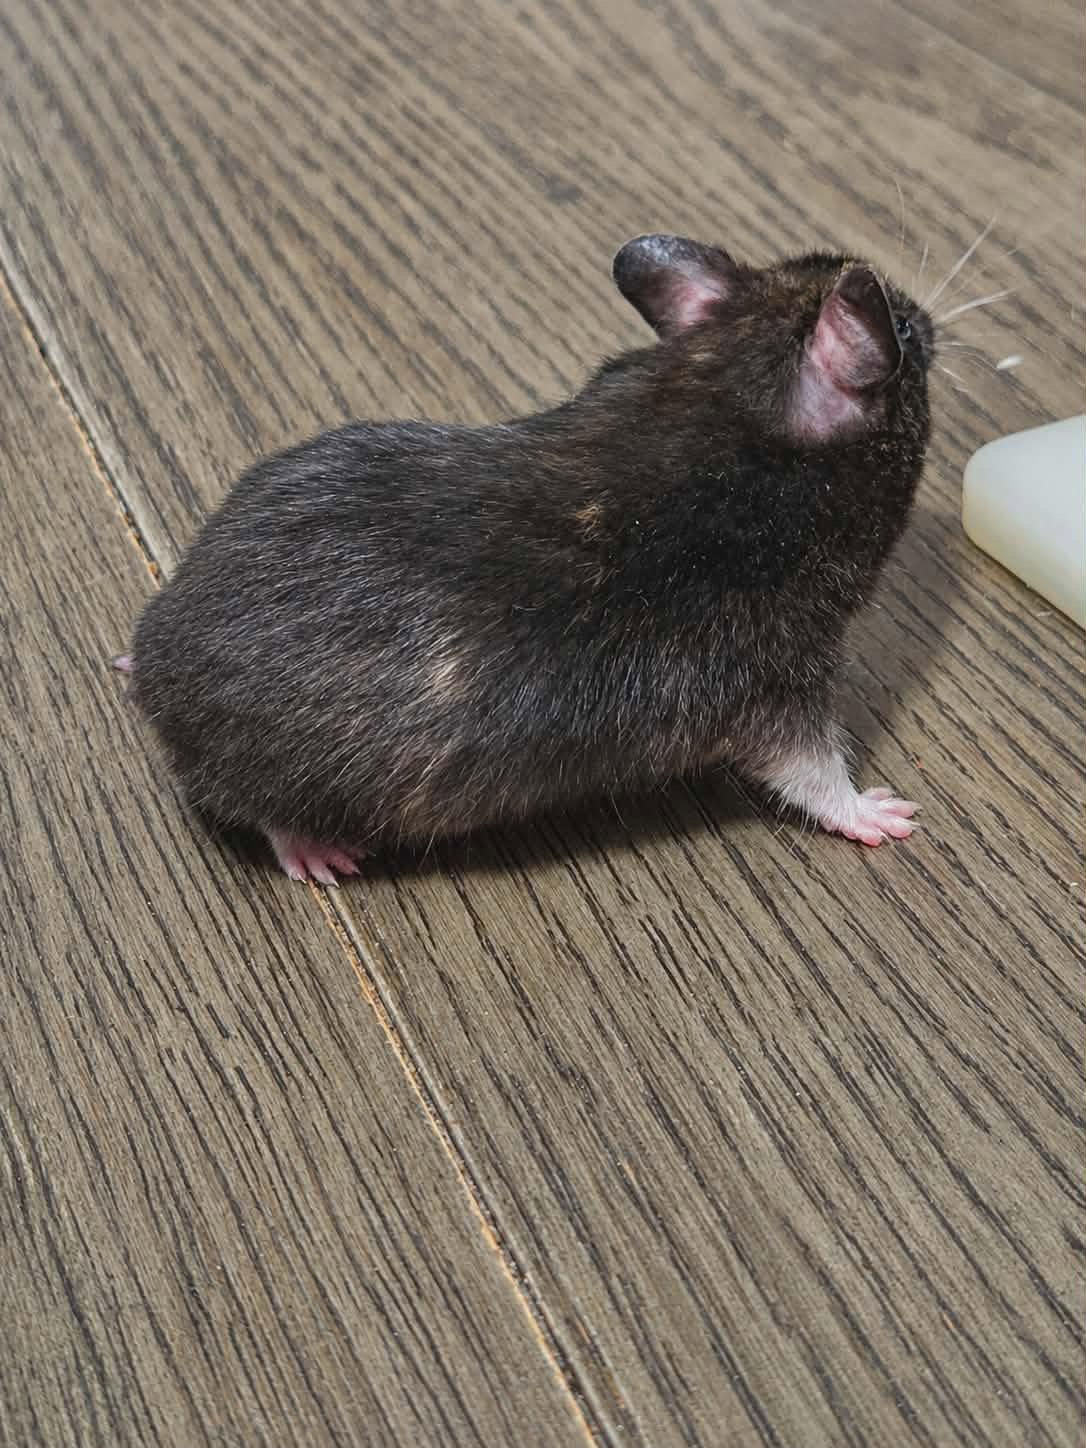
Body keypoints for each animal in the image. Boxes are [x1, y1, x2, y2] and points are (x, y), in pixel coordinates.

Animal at [122, 232, 932, 882]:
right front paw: (884, 813)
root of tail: (159, 675)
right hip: (294, 775)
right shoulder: (778, 680)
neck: (723, 396)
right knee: (260, 811)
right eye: (901, 330)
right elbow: (812, 773)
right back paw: (317, 852)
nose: (921, 313)